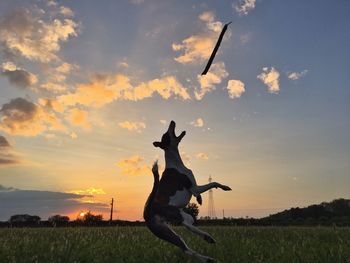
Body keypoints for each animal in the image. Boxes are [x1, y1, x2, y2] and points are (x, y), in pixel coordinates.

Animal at [144, 120, 231, 262]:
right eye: (166, 134)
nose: (172, 121)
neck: (175, 162)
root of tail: (147, 210)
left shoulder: (195, 189)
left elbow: (201, 193)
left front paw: (200, 200)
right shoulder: (194, 187)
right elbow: (213, 183)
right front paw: (224, 187)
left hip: (166, 232)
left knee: (186, 249)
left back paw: (207, 256)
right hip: (178, 214)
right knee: (187, 224)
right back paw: (206, 237)